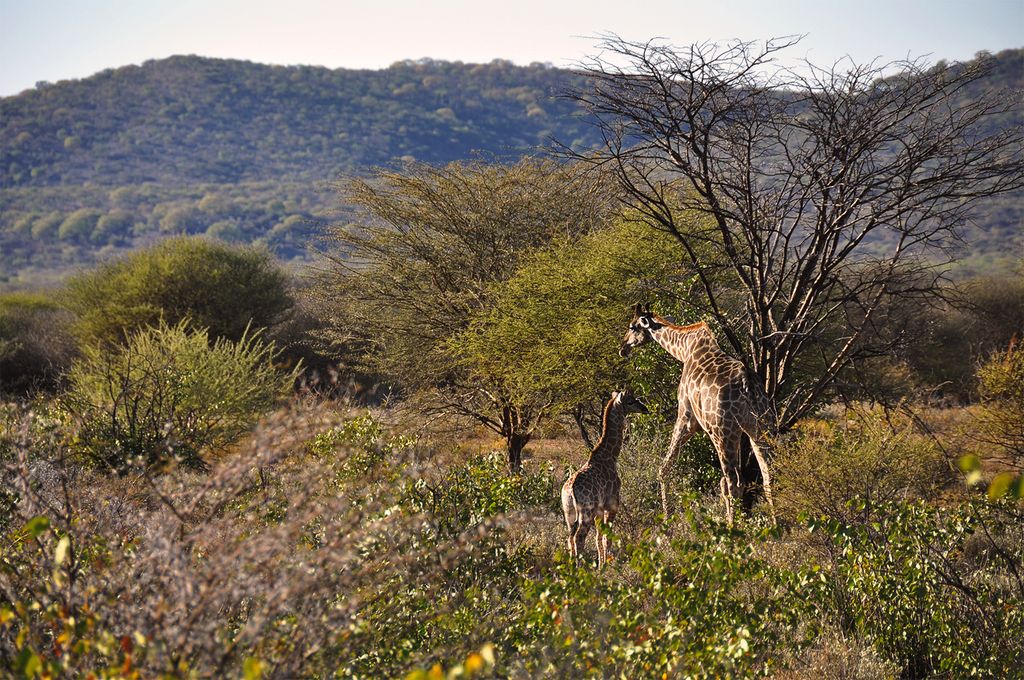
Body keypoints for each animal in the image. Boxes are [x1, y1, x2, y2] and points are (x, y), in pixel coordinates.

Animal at [561, 390, 648, 567]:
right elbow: (608, 538)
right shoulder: (612, 504)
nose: (645, 408)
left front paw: (601, 565)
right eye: (630, 401)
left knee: (570, 537)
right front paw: (605, 566)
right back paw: (580, 568)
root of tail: (570, 490)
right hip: (585, 512)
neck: (610, 455)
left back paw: (571, 567)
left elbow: (598, 538)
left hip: (569, 513)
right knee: (579, 537)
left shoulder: (600, 509)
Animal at [619, 304, 776, 525]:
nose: (623, 348)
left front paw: (667, 518)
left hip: (723, 432)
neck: (684, 350)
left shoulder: (686, 416)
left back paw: (733, 527)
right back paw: (777, 524)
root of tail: (748, 385)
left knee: (734, 482)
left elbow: (664, 468)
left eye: (632, 327)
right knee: (768, 475)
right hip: (760, 427)